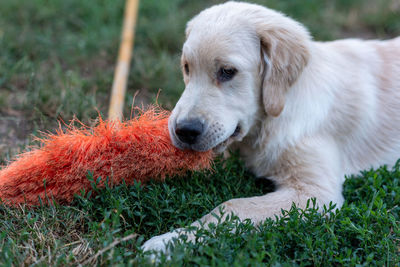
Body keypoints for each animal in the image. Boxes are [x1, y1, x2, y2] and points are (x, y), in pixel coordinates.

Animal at [142, 0, 398, 255]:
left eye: (227, 71)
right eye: (187, 68)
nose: (184, 130)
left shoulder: (316, 191)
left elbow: (234, 205)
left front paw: (169, 241)